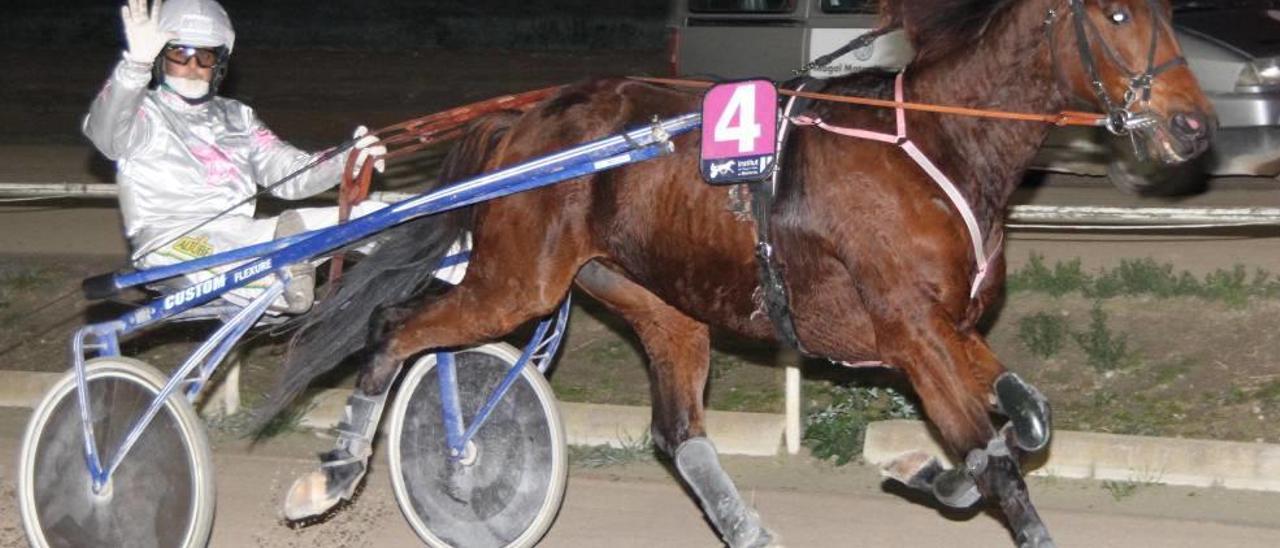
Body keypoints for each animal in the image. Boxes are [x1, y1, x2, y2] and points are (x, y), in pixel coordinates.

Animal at [262, 0, 1208, 545]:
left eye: (1165, 9)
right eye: (1117, 15)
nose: (1194, 127)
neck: (938, 145)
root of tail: (524, 124)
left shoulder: (951, 328)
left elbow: (1029, 421)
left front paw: (930, 471)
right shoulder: (914, 334)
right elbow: (1000, 463)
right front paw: (952, 473)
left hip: (656, 301)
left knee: (678, 432)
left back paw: (749, 529)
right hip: (516, 283)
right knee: (395, 330)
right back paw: (335, 474)